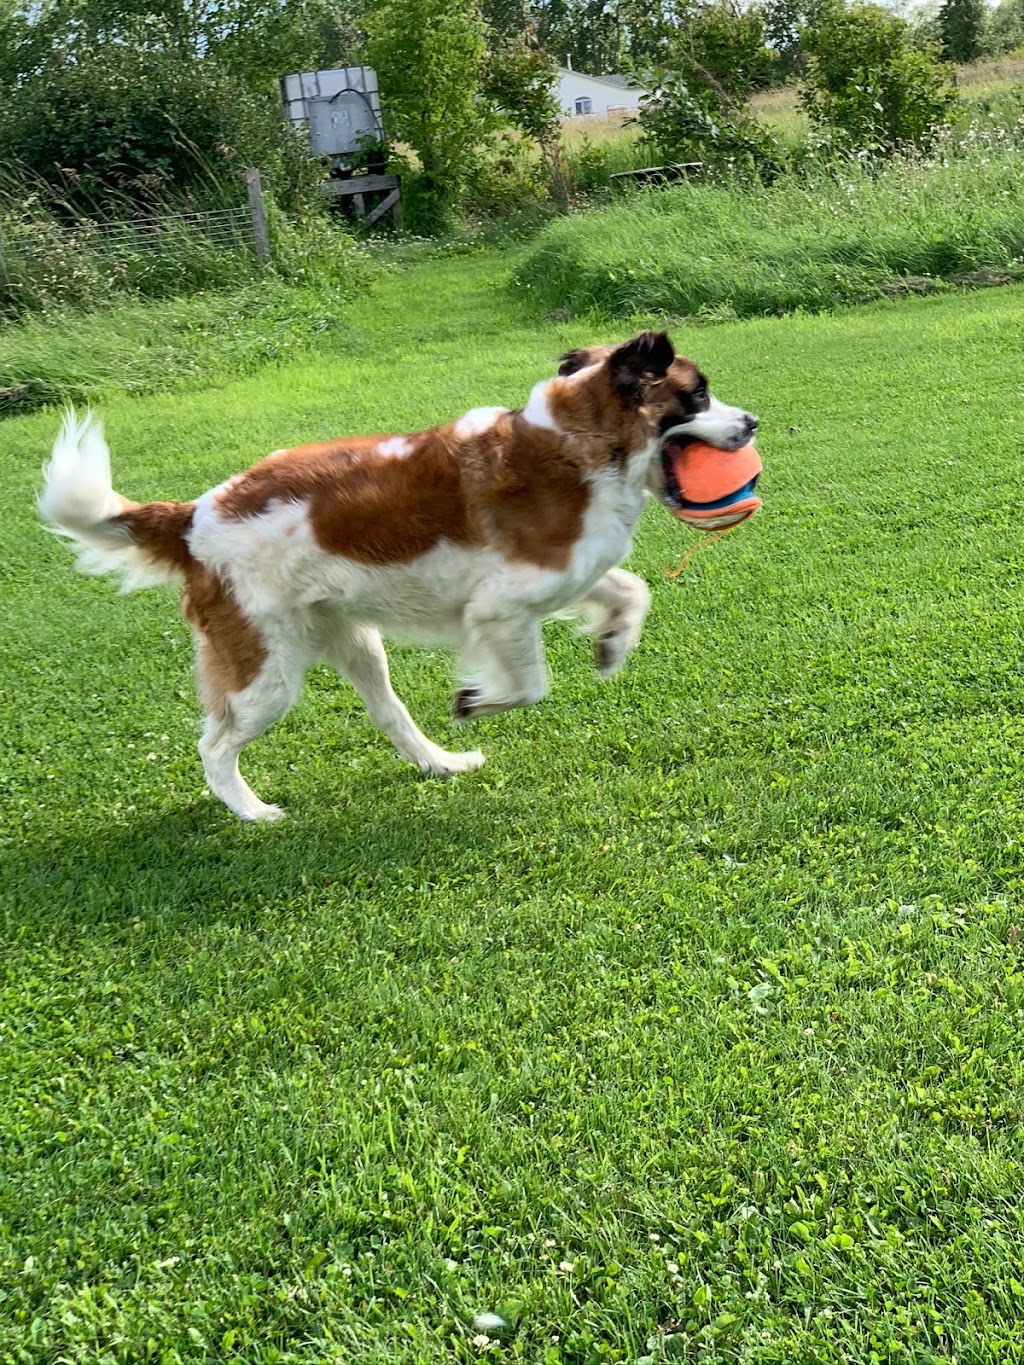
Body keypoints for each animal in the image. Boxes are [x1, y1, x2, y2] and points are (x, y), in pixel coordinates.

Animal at [40, 330, 759, 819]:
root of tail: (194, 515)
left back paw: (440, 763)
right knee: (215, 747)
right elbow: (530, 685)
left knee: (389, 713)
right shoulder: (500, 607)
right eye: (698, 393)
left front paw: (612, 643)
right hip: (267, 673)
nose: (754, 421)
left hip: (353, 641)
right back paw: (253, 811)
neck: (577, 441)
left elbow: (631, 591)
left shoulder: (566, 575)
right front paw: (477, 699)